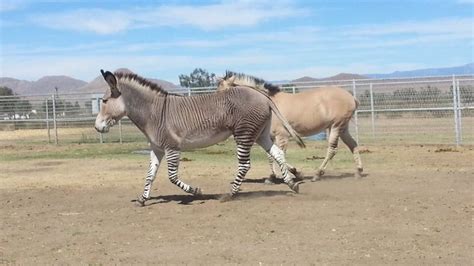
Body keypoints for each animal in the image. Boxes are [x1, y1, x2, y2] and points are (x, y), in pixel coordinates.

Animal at [217, 71, 364, 182]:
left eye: (224, 93)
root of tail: (351, 97)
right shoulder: (269, 136)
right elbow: (270, 156)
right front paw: (272, 177)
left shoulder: (282, 136)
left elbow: (280, 155)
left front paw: (294, 174)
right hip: (342, 128)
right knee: (353, 145)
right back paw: (358, 171)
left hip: (336, 126)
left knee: (332, 150)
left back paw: (317, 174)